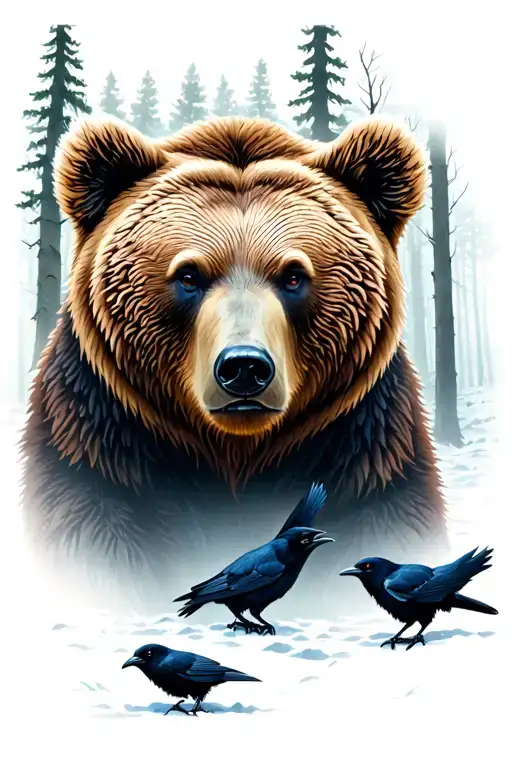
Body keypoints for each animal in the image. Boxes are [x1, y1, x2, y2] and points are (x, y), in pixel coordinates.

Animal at [21, 115, 447, 617]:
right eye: (188, 275)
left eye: (294, 275)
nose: (245, 367)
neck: (235, 453)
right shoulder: (97, 445)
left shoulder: (368, 453)